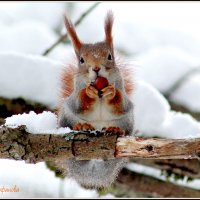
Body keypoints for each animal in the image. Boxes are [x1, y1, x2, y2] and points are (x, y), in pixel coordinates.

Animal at [56, 11, 134, 189]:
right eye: (81, 60)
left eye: (110, 56)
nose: (96, 68)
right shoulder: (74, 96)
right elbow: (79, 103)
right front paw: (88, 92)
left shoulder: (122, 91)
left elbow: (121, 104)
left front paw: (112, 92)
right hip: (65, 117)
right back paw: (81, 125)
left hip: (127, 121)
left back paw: (115, 129)